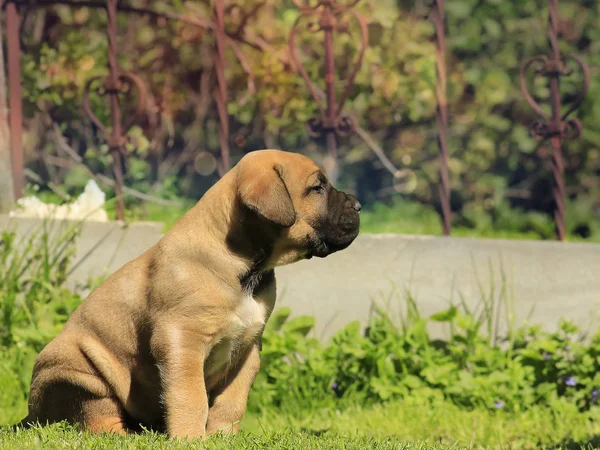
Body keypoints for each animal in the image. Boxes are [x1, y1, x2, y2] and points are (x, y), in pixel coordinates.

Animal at [21, 150, 360, 440]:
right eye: (317, 187)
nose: (358, 205)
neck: (244, 268)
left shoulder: (248, 348)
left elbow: (232, 400)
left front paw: (223, 437)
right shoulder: (181, 341)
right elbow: (190, 395)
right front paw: (190, 438)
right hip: (79, 372)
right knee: (96, 417)